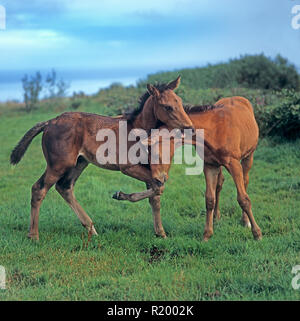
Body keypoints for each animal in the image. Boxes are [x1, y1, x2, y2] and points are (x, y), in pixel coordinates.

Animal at [10, 76, 193, 239]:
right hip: (58, 165)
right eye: (167, 107)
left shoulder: (150, 169)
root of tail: (49, 122)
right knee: (39, 189)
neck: (138, 129)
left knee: (64, 187)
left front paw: (161, 233)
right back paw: (33, 235)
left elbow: (156, 195)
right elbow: (159, 187)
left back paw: (91, 229)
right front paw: (120, 195)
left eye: (180, 102)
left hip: (79, 163)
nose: (189, 127)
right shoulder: (128, 167)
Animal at [115, 95, 262, 240]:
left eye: (155, 154)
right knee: (219, 184)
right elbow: (209, 199)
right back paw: (216, 218)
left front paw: (257, 234)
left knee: (245, 182)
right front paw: (207, 235)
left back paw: (245, 221)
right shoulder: (210, 165)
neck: (214, 130)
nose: (157, 179)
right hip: (219, 165)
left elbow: (243, 198)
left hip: (248, 157)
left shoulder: (234, 164)